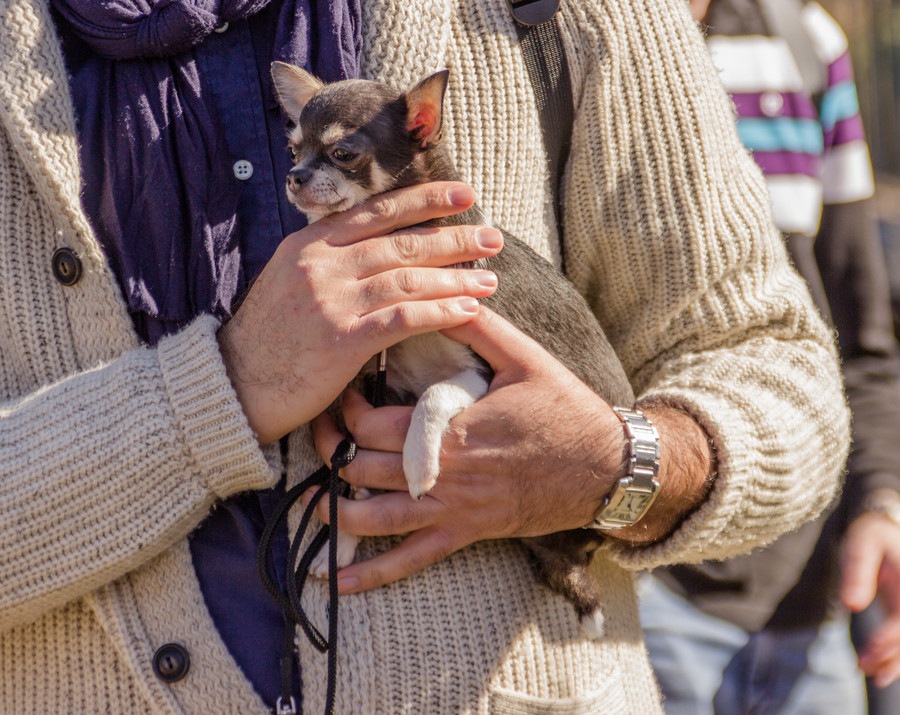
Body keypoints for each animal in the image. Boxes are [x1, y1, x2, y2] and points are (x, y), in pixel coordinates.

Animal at [272, 61, 632, 636]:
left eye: (342, 153)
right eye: (292, 149)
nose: (294, 176)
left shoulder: (482, 369)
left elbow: (434, 394)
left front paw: (419, 463)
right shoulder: (381, 381)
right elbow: (354, 472)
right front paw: (345, 535)